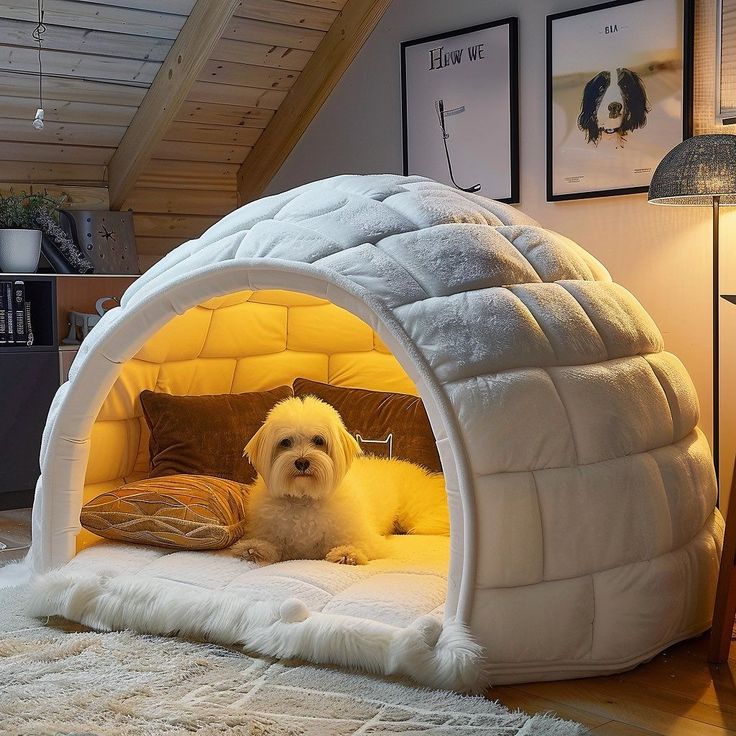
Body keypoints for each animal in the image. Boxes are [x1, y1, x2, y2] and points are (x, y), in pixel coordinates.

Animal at [230, 396, 448, 564]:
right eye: (285, 442)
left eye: (319, 440)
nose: (302, 462)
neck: (305, 498)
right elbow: (268, 544)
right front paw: (253, 550)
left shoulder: (365, 537)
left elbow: (360, 544)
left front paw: (346, 554)